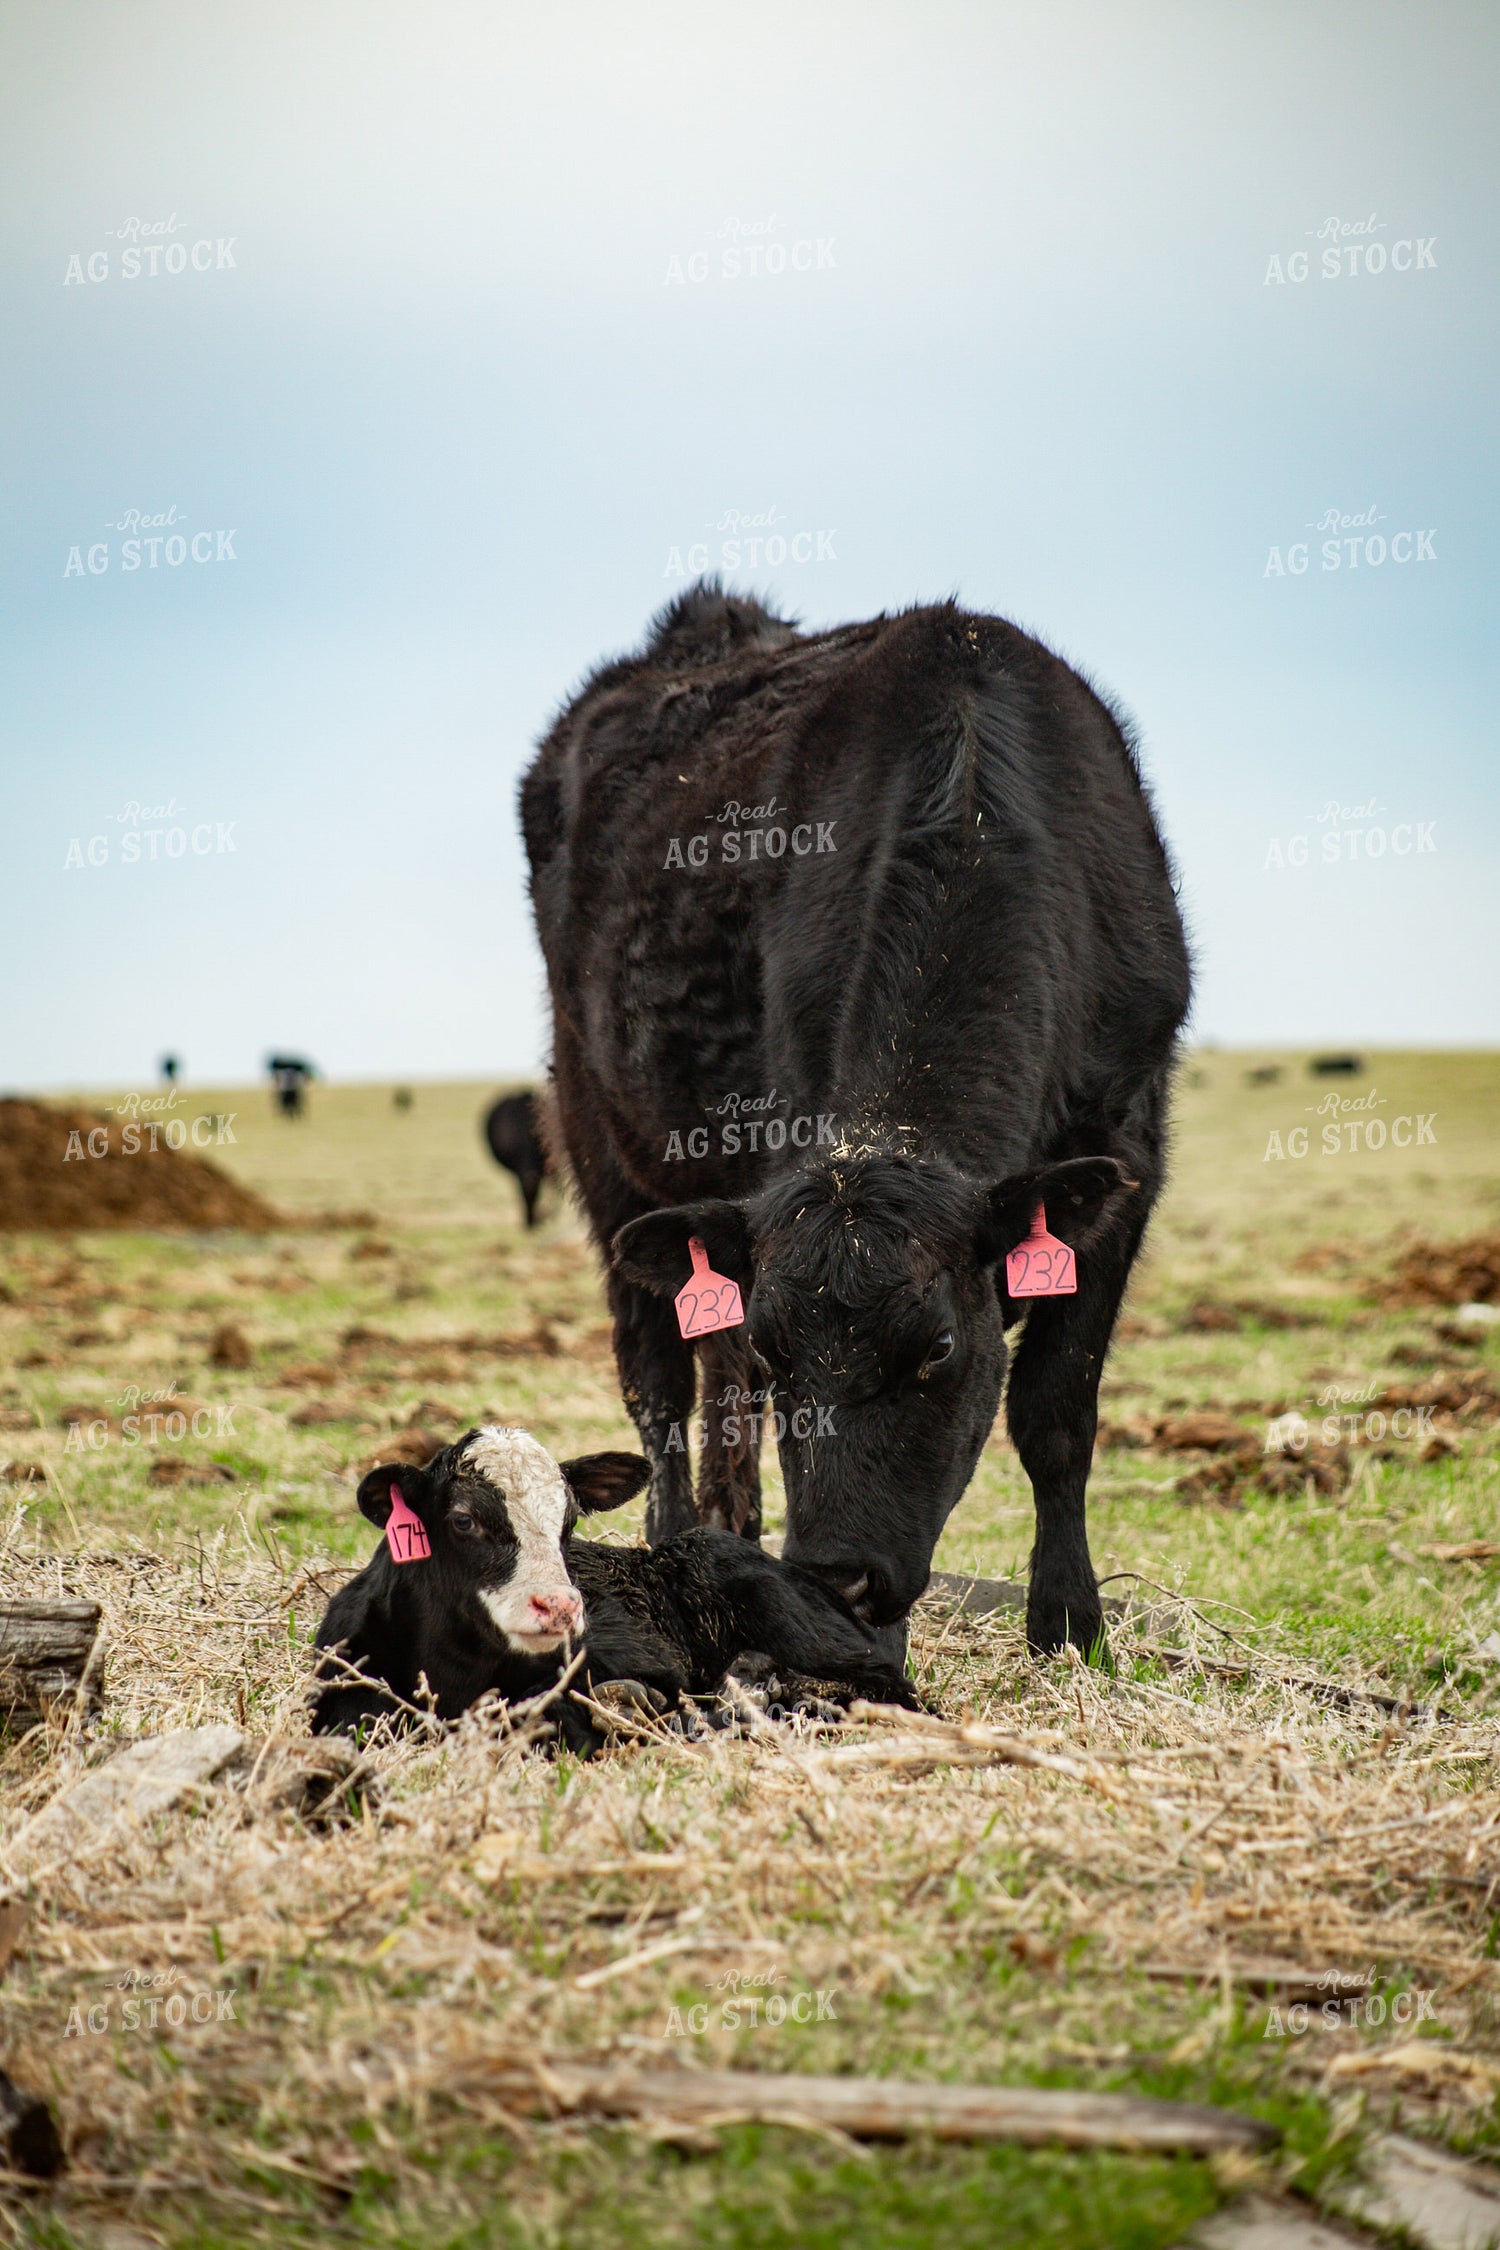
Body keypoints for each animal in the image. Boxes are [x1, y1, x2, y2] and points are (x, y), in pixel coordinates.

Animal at [520, 583, 1192, 1661]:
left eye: (940, 1351)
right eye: (786, 1352)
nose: (837, 1576)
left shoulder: (1129, 1154)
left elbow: (1056, 1410)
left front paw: (1068, 1621)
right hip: (602, 1136)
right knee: (660, 1383)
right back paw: (675, 1546)